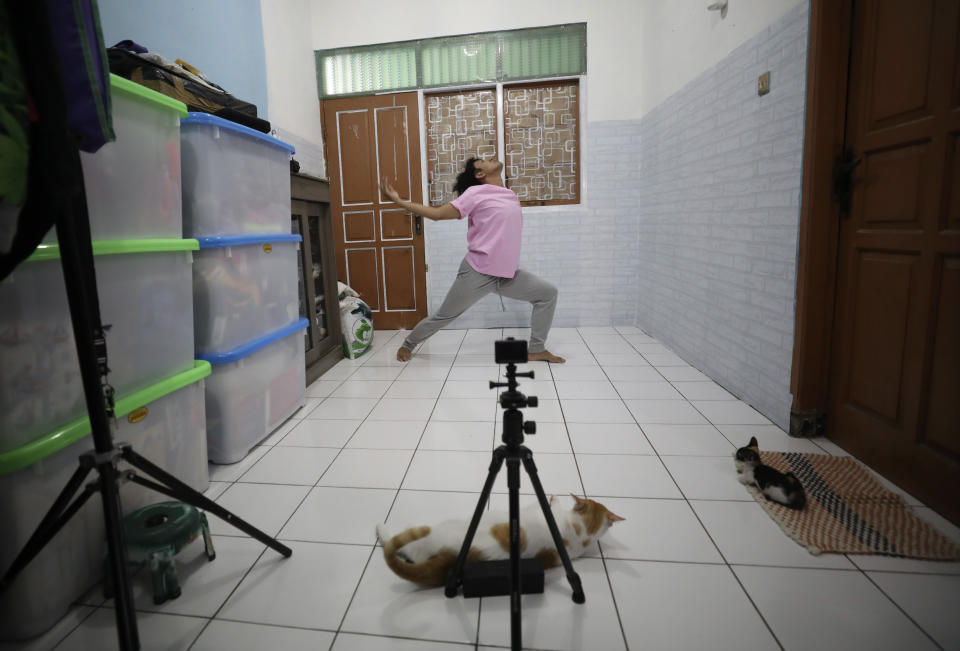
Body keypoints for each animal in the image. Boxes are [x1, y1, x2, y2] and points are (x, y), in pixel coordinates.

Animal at [378, 494, 628, 584]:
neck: (582, 532)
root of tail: (447, 563)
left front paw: (553, 497)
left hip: (431, 531)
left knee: (396, 545)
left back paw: (382, 529)